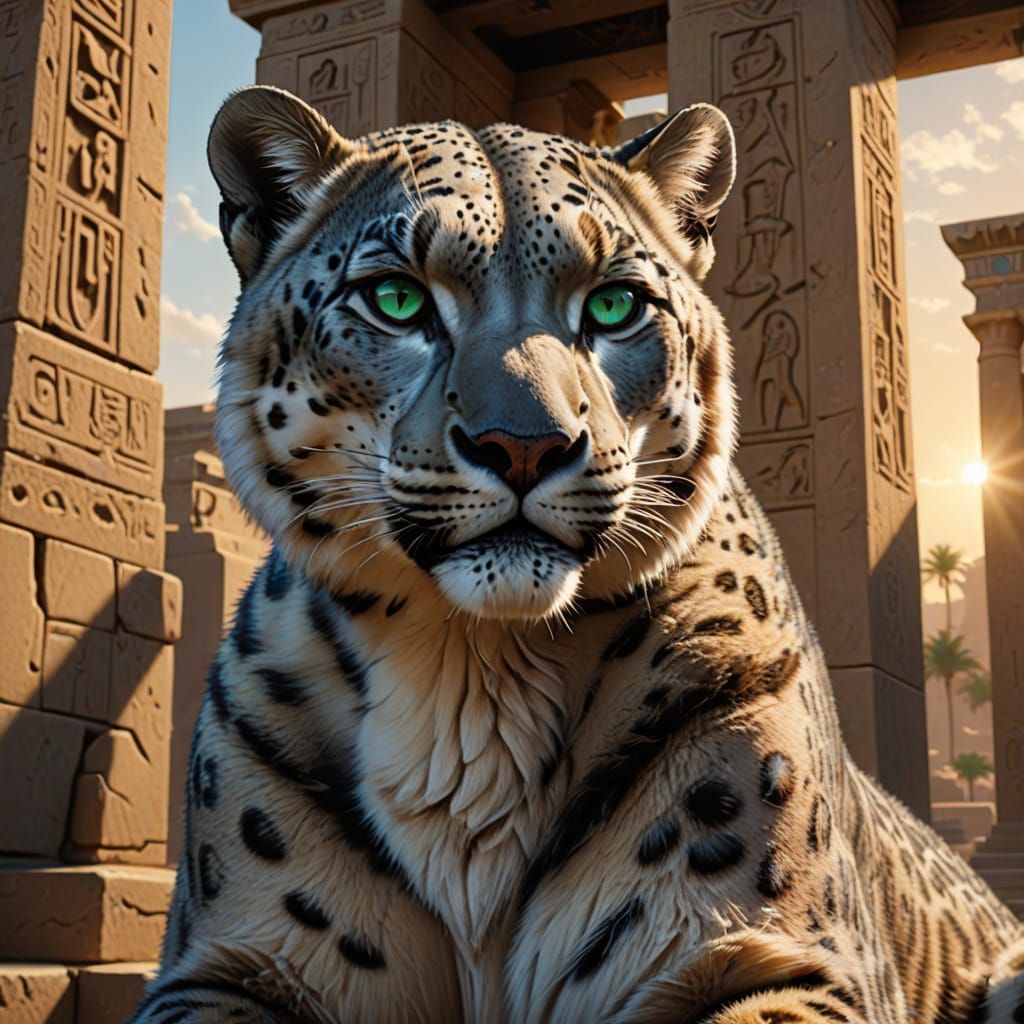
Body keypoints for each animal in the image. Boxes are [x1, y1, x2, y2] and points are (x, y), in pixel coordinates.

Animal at [131, 85, 1024, 1024]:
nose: (524, 446)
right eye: (397, 300)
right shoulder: (226, 964)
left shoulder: (789, 961)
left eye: (614, 306)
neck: (472, 677)